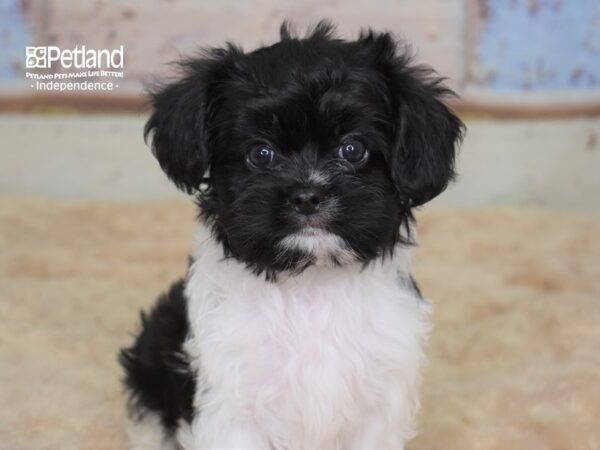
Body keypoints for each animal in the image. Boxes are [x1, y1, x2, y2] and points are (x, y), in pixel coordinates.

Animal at [120, 22, 464, 450]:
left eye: (353, 149)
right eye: (261, 154)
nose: (307, 195)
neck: (310, 285)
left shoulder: (378, 400)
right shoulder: (231, 403)